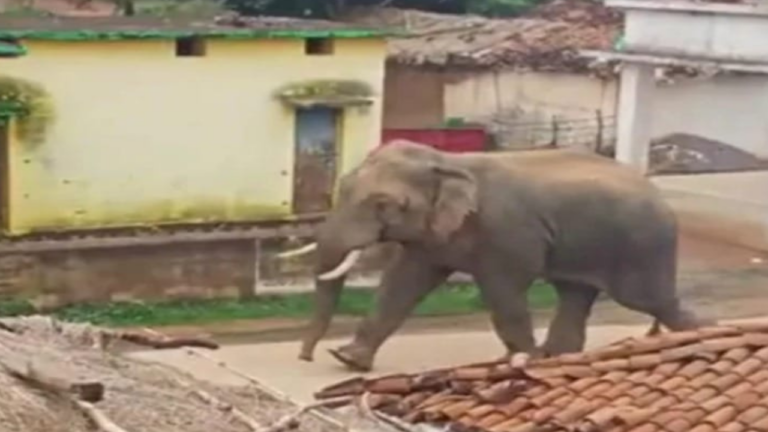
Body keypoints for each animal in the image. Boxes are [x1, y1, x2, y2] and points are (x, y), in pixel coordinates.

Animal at [278, 140, 712, 372]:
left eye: (385, 205)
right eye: (344, 186)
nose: (305, 358)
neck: (447, 162)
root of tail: (659, 192)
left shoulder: (506, 233)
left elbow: (504, 292)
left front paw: (521, 361)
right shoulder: (435, 236)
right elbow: (403, 283)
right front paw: (349, 360)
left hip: (641, 246)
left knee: (651, 300)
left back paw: (705, 333)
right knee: (575, 293)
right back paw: (555, 357)